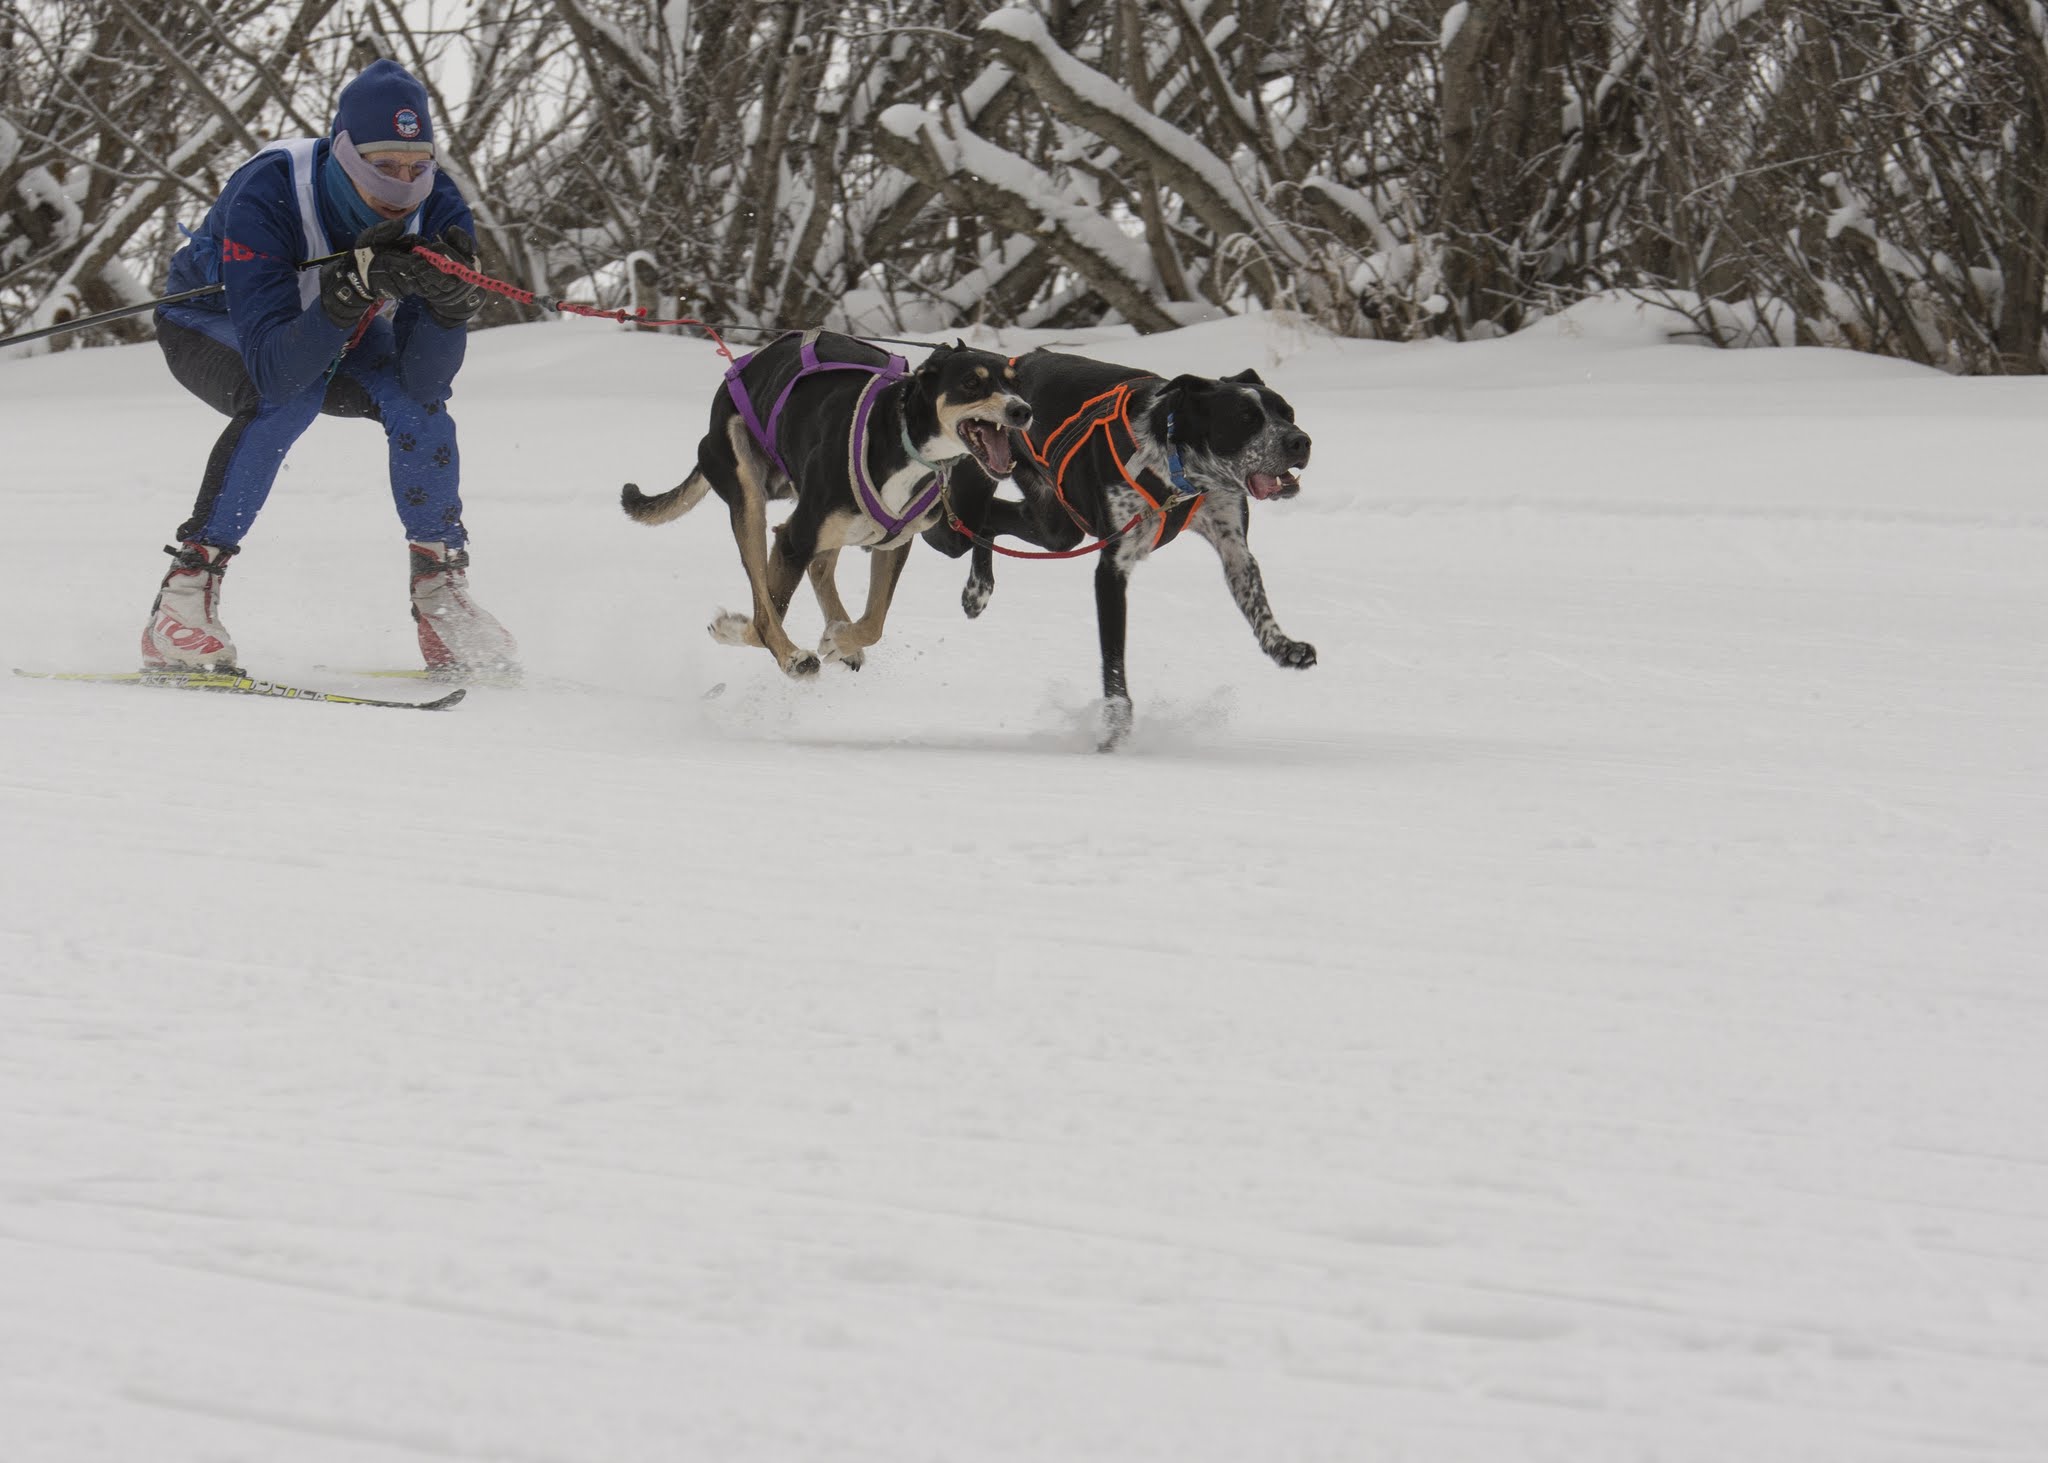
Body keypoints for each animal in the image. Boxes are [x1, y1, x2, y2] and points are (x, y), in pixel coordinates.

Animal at [925, 348, 1310, 745]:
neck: (1176, 466)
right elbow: (1113, 658)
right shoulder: (1112, 569)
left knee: (991, 522)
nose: (1300, 441)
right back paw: (971, 583)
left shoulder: (1234, 547)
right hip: (960, 523)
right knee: (956, 524)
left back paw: (979, 589)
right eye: (1246, 419)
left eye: (1288, 414)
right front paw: (1114, 727)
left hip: (1056, 529)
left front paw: (1284, 647)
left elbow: (1256, 601)